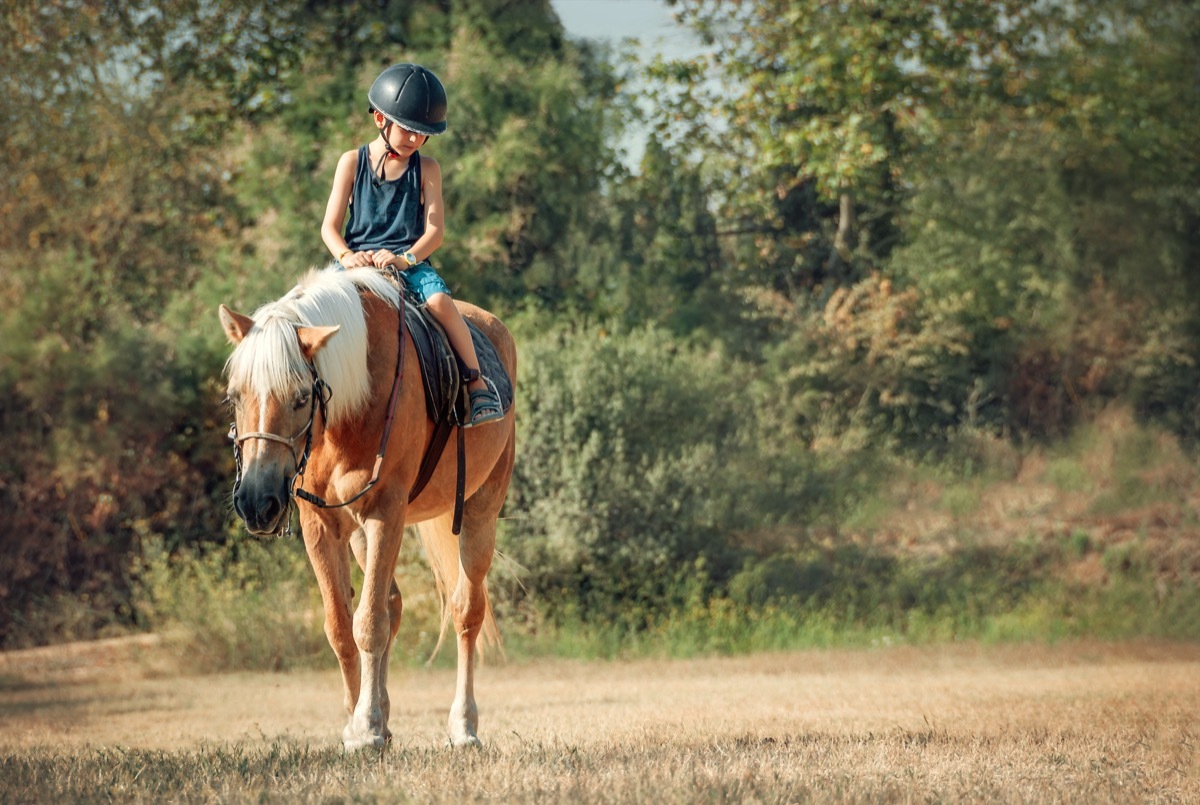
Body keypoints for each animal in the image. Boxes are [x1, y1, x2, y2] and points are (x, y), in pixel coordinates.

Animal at [218, 266, 516, 750]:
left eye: (301, 396)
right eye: (234, 396)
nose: (257, 503)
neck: (348, 410)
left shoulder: (385, 512)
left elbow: (369, 623)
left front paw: (368, 729)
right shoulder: (320, 523)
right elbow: (341, 627)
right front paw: (360, 721)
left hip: (480, 510)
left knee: (466, 610)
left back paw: (463, 725)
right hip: (359, 532)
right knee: (393, 604)